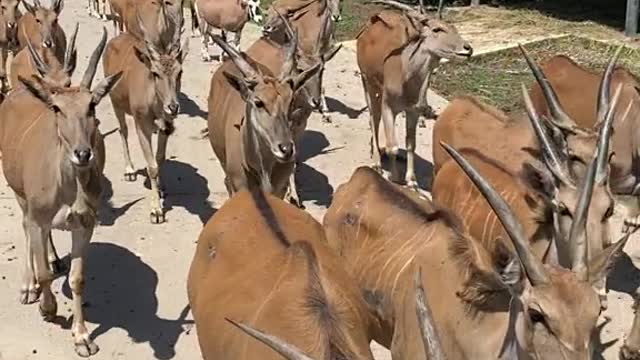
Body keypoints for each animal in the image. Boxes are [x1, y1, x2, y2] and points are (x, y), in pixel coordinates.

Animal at [0, 28, 122, 358]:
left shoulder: (85, 223)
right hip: (19, 194)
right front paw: (48, 307)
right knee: (26, 229)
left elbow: (78, 279)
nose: (83, 153)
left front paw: (82, 337)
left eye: (92, 105)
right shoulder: (37, 215)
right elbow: (43, 270)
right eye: (58, 108)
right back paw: (28, 286)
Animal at [104, 8, 188, 224]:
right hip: (116, 103)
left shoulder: (165, 127)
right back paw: (130, 170)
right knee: (122, 130)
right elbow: (151, 166)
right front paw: (156, 210)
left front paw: (161, 188)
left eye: (179, 72)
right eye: (155, 73)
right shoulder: (142, 126)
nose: (173, 107)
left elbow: (160, 158)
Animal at [358, 1, 472, 188]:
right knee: (373, 117)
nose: (468, 49)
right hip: (367, 81)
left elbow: (411, 144)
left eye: (454, 27)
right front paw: (395, 177)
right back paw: (376, 161)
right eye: (436, 29)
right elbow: (392, 145)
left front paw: (412, 180)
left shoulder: (413, 110)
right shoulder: (389, 106)